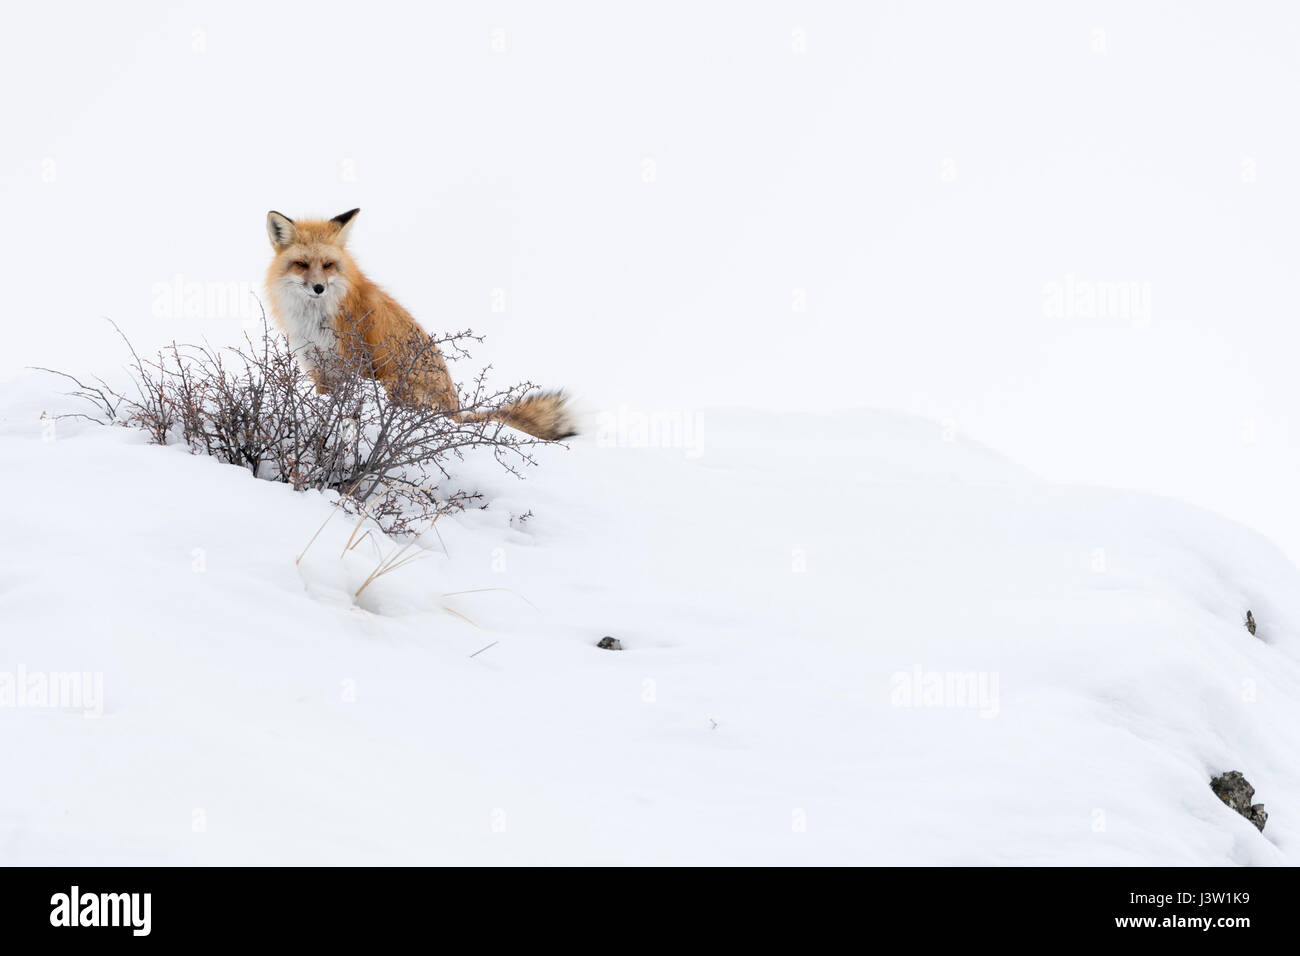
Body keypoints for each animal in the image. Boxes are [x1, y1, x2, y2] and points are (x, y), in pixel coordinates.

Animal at [263, 209, 574, 442]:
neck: (315, 318)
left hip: (393, 383)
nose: (318, 288)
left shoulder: (352, 364)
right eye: (301, 264)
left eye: (328, 265)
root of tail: (455, 414)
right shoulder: (320, 369)